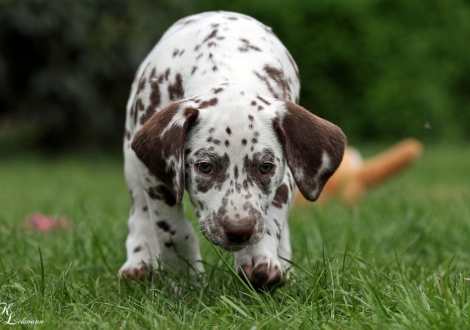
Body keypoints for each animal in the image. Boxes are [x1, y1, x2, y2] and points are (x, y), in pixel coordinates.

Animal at [118, 11, 346, 292]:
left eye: (265, 167)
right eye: (205, 166)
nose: (239, 231)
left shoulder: (286, 178)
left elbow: (271, 219)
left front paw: (260, 260)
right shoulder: (154, 177)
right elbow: (172, 230)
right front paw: (186, 278)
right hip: (132, 164)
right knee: (139, 214)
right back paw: (139, 263)